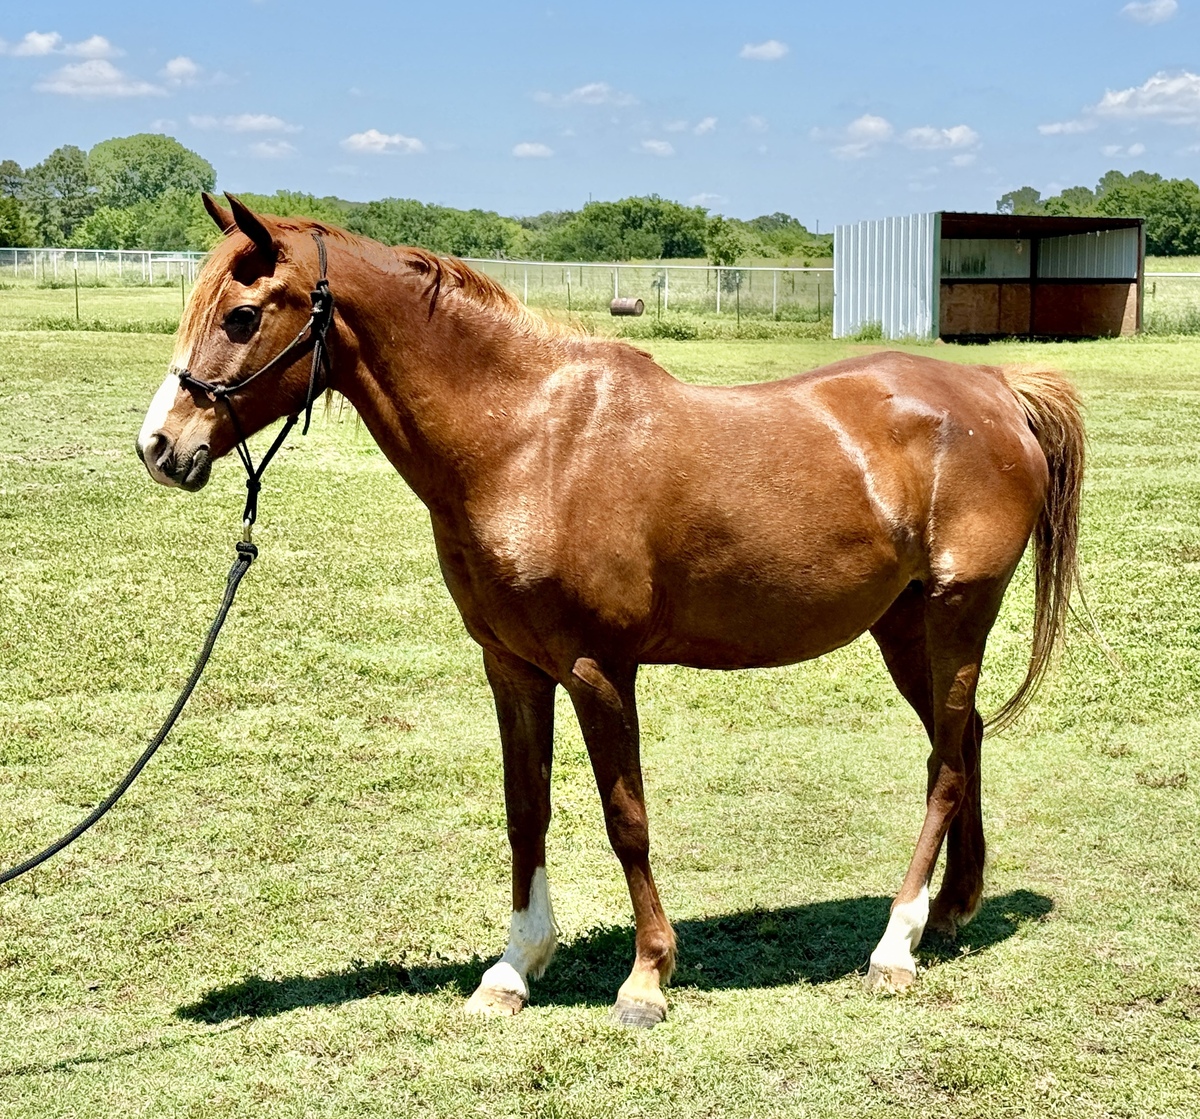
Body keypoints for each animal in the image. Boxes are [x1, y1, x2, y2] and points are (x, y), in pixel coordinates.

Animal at [136, 194, 1084, 1027]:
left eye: (242, 317)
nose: (159, 446)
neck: (526, 441)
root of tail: (994, 391)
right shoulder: (513, 667)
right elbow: (526, 810)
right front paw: (514, 968)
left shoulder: (598, 669)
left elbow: (626, 818)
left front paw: (646, 978)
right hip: (903, 626)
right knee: (966, 740)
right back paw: (952, 909)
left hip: (958, 615)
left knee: (945, 766)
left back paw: (896, 942)